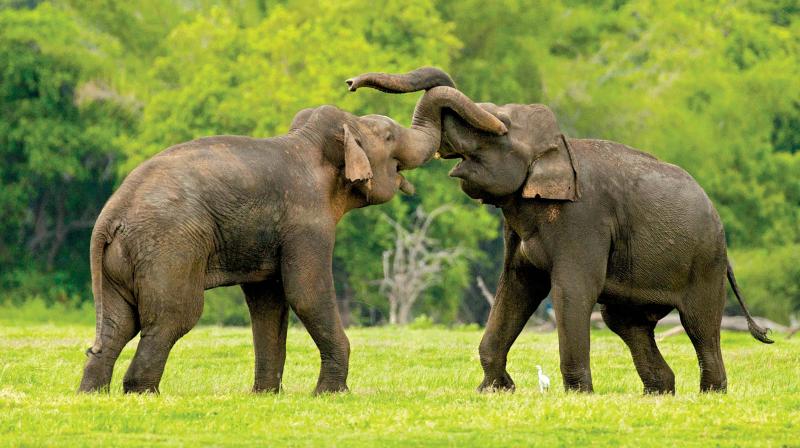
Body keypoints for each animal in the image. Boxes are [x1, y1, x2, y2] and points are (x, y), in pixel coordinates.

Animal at [81, 88, 506, 396]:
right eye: (387, 136)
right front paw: (331, 394)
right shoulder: (307, 219)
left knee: (119, 324)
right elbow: (306, 292)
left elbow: (268, 302)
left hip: (124, 260)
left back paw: (93, 393)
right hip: (170, 249)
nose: (501, 130)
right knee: (171, 317)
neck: (311, 142)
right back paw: (142, 393)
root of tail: (108, 220)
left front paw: (266, 395)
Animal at [346, 68, 772, 394]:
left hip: (705, 262)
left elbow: (571, 290)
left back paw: (710, 394)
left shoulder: (582, 219)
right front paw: (494, 390)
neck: (559, 147)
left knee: (699, 325)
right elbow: (516, 287)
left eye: (500, 130)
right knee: (627, 322)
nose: (350, 83)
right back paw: (660, 392)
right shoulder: (516, 228)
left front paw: (579, 395)